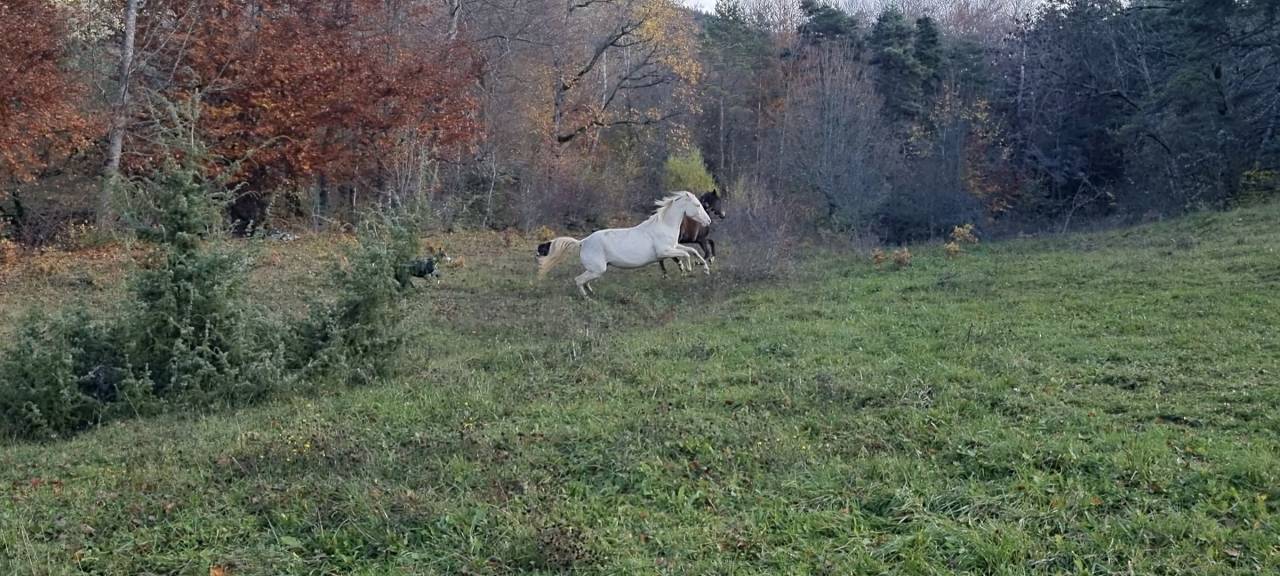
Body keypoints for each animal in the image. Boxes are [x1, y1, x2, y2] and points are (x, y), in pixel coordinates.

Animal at [536, 191, 712, 298]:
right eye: (697, 205)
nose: (708, 221)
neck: (664, 225)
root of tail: (582, 242)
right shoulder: (664, 252)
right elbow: (686, 253)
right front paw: (688, 268)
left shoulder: (674, 247)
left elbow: (692, 250)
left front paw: (705, 269)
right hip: (598, 269)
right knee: (578, 280)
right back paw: (588, 299)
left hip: (595, 270)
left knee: (585, 280)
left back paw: (592, 293)